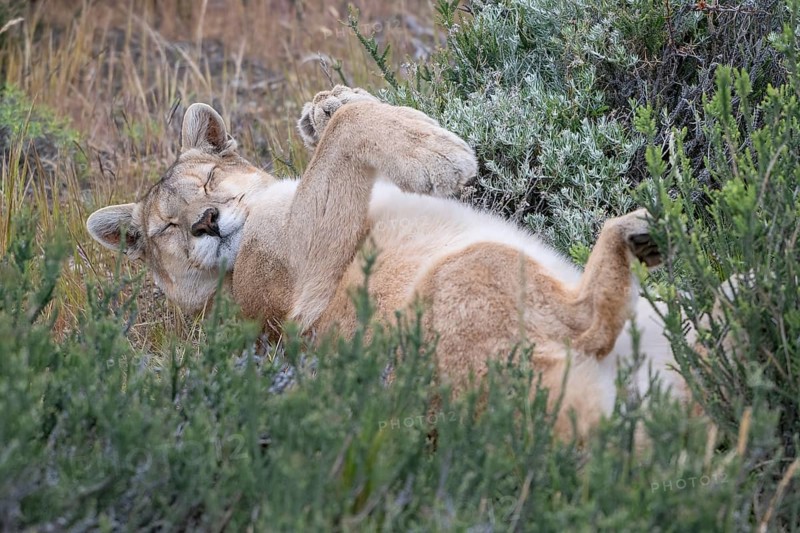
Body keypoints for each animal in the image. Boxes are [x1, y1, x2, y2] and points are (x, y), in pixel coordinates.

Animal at [87, 86, 690, 439]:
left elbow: (342, 122)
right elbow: (351, 127)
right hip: (466, 273)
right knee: (591, 323)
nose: (206, 221)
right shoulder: (303, 278)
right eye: (166, 227)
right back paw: (632, 231)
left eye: (209, 179)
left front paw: (327, 102)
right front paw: (437, 154)